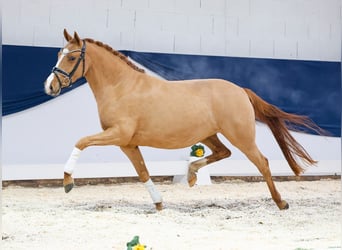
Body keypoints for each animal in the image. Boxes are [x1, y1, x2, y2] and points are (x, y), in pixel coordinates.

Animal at [44, 30, 322, 211]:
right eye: (58, 53)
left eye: (71, 57)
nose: (49, 86)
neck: (121, 87)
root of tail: (240, 90)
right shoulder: (127, 143)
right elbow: (143, 172)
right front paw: (158, 204)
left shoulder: (118, 134)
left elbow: (81, 142)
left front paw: (67, 182)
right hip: (209, 135)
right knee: (223, 152)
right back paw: (191, 175)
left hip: (241, 135)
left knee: (262, 162)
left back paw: (281, 202)